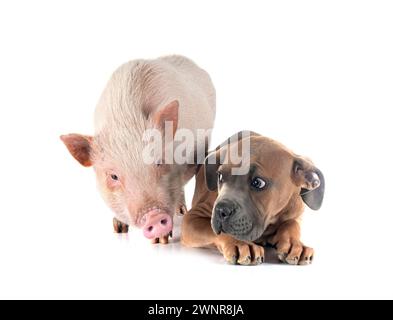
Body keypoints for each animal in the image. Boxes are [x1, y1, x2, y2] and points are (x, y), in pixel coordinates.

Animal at [59, 55, 216, 244]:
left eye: (159, 162)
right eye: (113, 176)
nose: (154, 216)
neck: (125, 117)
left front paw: (162, 240)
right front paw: (119, 229)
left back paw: (181, 212)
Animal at [181, 131, 324, 264]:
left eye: (258, 182)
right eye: (220, 176)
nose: (221, 210)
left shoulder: (295, 213)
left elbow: (292, 224)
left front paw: (295, 244)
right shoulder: (191, 218)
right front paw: (240, 243)